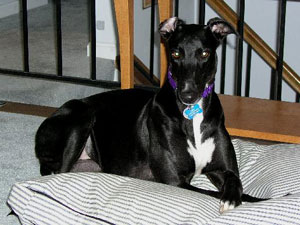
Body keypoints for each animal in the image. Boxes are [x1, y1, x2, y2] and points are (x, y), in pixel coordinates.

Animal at [35, 17, 260, 213]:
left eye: (204, 53)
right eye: (175, 54)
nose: (187, 95)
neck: (193, 116)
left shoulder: (221, 169)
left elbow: (238, 182)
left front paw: (236, 197)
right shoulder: (175, 182)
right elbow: (210, 193)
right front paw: (230, 200)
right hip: (83, 117)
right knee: (60, 173)